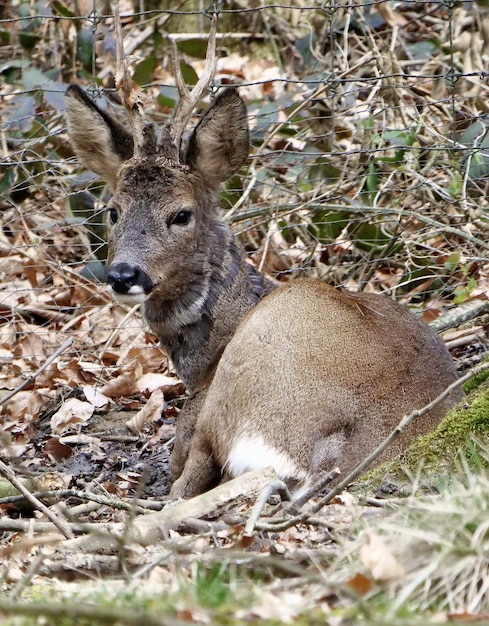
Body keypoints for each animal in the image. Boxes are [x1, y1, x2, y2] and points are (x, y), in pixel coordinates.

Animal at [63, 63, 462, 498]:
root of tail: (325, 459)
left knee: (187, 480)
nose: (124, 274)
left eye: (182, 214)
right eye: (113, 211)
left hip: (240, 382)